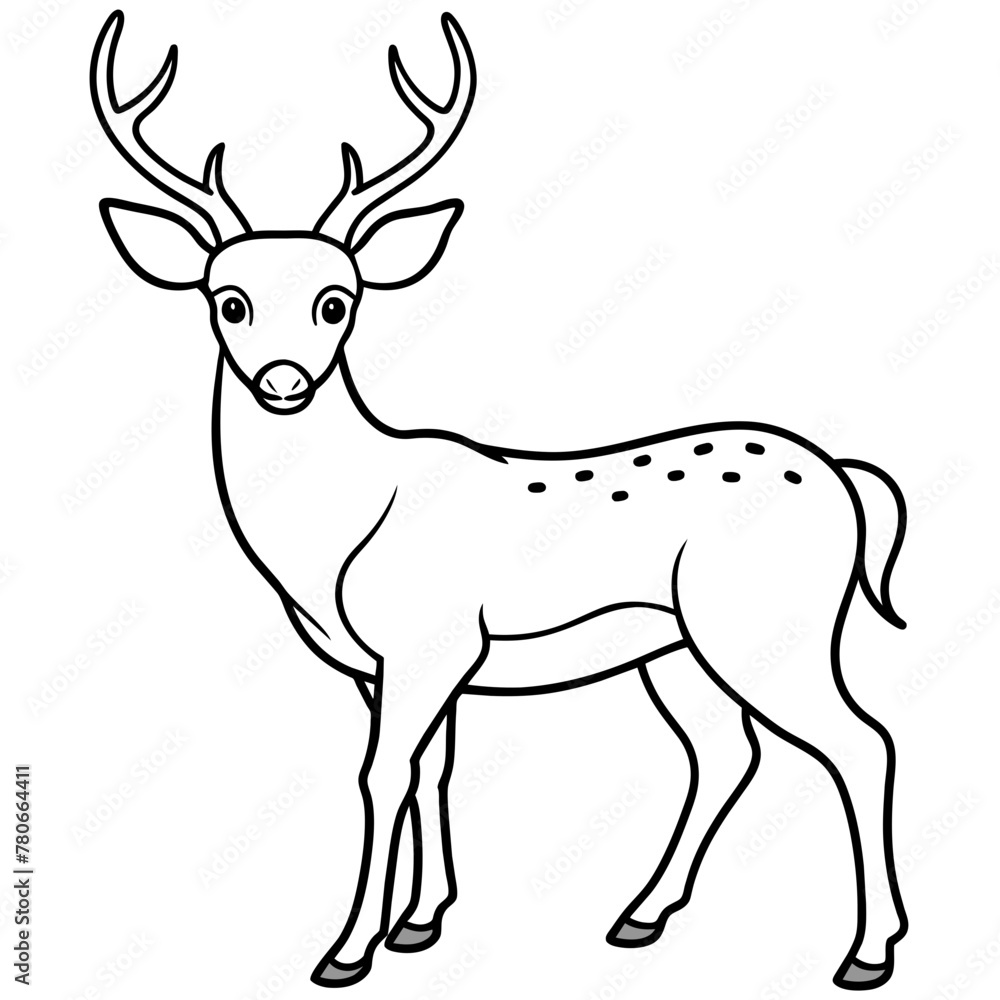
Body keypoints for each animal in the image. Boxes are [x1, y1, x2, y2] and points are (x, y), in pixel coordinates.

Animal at [92, 9, 909, 990]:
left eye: (337, 301)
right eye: (228, 300)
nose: (282, 381)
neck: (335, 540)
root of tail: (847, 479)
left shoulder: (425, 644)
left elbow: (381, 777)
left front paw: (347, 951)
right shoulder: (397, 665)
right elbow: (430, 773)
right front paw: (420, 923)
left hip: (766, 622)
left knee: (861, 742)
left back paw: (867, 953)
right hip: (675, 645)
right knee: (726, 752)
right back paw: (640, 916)